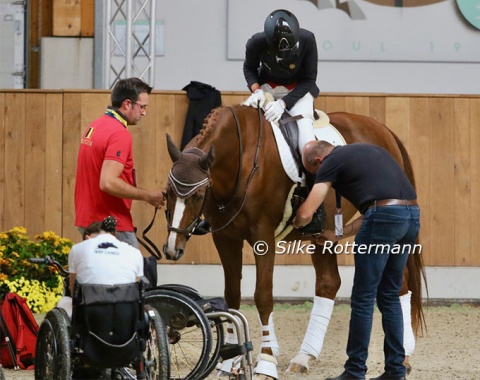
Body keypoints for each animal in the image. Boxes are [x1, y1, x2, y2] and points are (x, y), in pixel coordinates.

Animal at [163, 105, 426, 378]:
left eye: (198, 195)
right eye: (167, 192)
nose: (172, 249)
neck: (241, 159)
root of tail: (383, 130)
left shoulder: (263, 235)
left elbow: (263, 297)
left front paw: (266, 361)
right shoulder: (225, 237)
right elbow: (232, 296)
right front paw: (231, 361)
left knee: (399, 284)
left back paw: (405, 356)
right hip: (324, 235)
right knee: (328, 283)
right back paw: (304, 356)